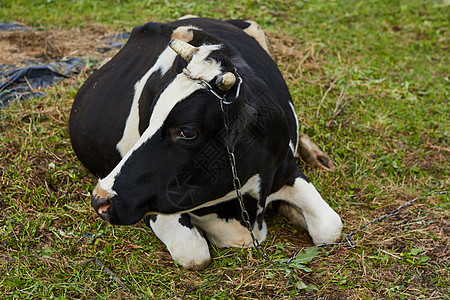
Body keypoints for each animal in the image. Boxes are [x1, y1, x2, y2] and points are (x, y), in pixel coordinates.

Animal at [70, 17, 342, 270]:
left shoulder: (285, 167)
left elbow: (330, 227)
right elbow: (194, 254)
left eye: (187, 132)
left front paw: (292, 210)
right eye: (151, 116)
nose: (100, 199)